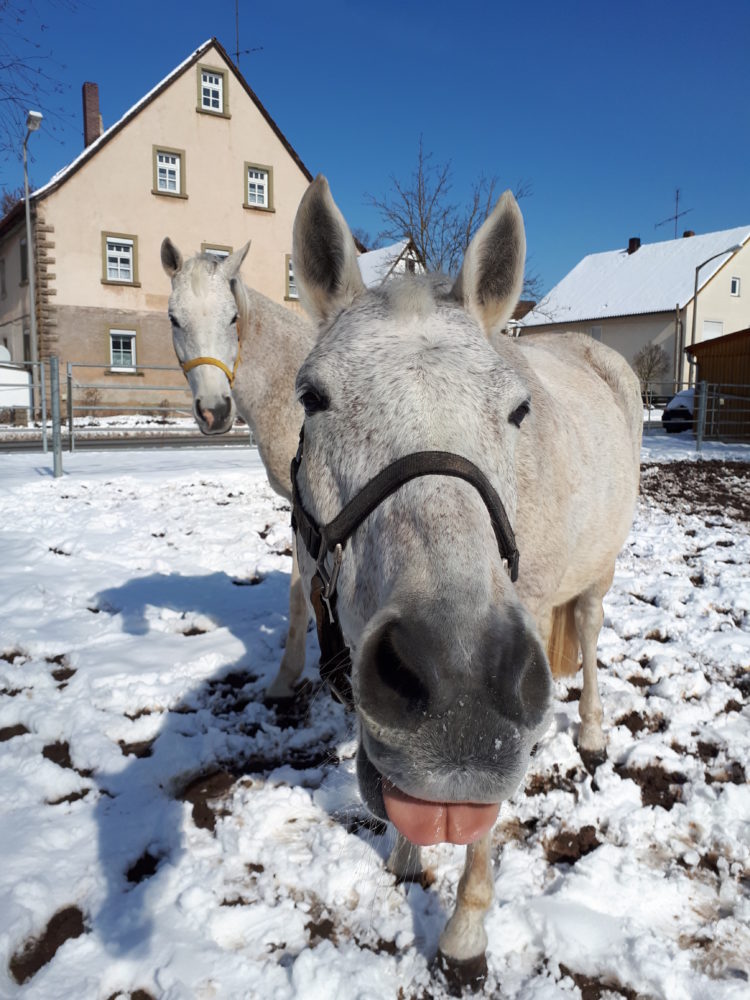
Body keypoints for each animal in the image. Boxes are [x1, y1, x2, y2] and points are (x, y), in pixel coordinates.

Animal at [290, 178, 644, 984]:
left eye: (517, 410)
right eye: (312, 398)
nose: (457, 691)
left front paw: (464, 933)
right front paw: (405, 854)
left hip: (598, 570)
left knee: (590, 631)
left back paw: (592, 733)